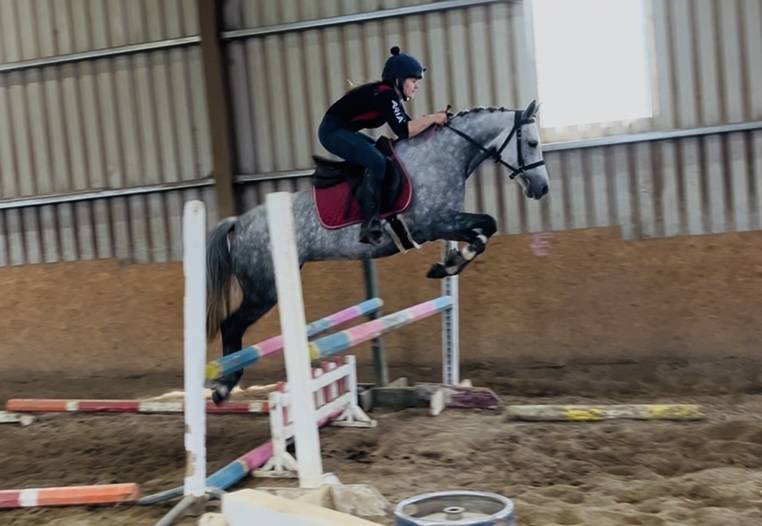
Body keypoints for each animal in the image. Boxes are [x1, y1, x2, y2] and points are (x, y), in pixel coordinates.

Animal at [206, 100, 550, 403]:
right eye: (533, 142)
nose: (542, 188)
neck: (442, 156)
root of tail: (239, 223)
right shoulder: (433, 223)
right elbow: (486, 226)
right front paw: (447, 265)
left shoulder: (446, 223)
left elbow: (484, 230)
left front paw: (447, 264)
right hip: (264, 289)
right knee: (231, 325)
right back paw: (223, 387)